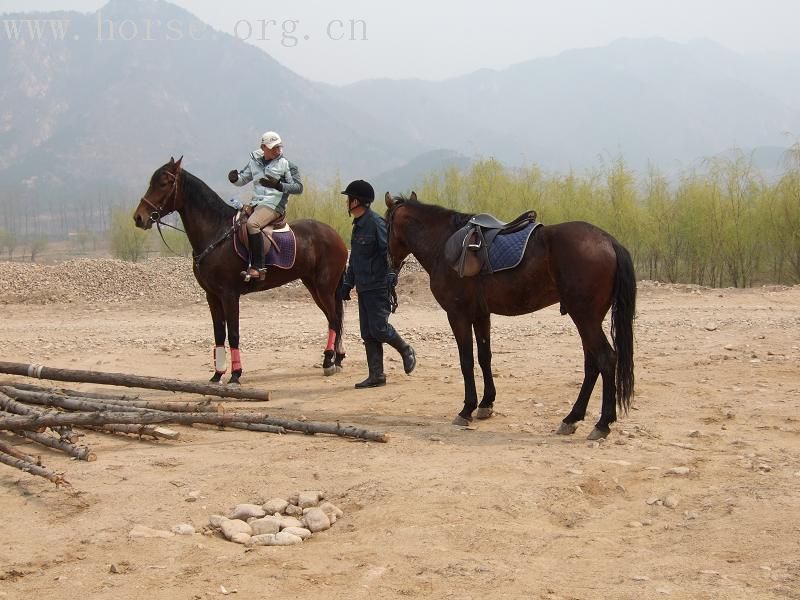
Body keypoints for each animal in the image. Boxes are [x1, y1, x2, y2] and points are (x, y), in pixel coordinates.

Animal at [133, 157, 348, 384]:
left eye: (164, 183)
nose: (139, 217)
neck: (216, 232)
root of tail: (335, 235)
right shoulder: (212, 296)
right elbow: (219, 334)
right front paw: (217, 375)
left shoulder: (229, 295)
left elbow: (233, 334)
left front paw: (235, 374)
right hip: (314, 286)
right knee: (333, 318)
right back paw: (336, 358)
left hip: (324, 287)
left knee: (334, 319)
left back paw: (328, 361)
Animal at [384, 193, 636, 440]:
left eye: (386, 225)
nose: (390, 263)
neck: (443, 245)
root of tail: (608, 240)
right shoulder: (481, 314)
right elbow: (484, 357)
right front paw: (486, 404)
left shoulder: (458, 315)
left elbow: (466, 360)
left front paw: (467, 409)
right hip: (588, 319)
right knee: (592, 364)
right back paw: (572, 418)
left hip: (585, 318)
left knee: (606, 359)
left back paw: (602, 423)